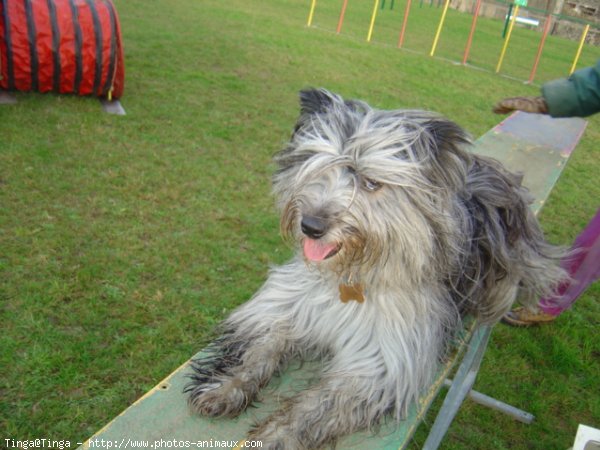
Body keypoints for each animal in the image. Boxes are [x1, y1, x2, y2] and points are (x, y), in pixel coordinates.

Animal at [185, 89, 564, 448]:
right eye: (319, 169)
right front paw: (225, 387)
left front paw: (276, 436)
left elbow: (316, 407)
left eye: (371, 183)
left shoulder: (380, 362)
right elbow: (258, 350)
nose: (311, 226)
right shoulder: (286, 308)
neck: (351, 276)